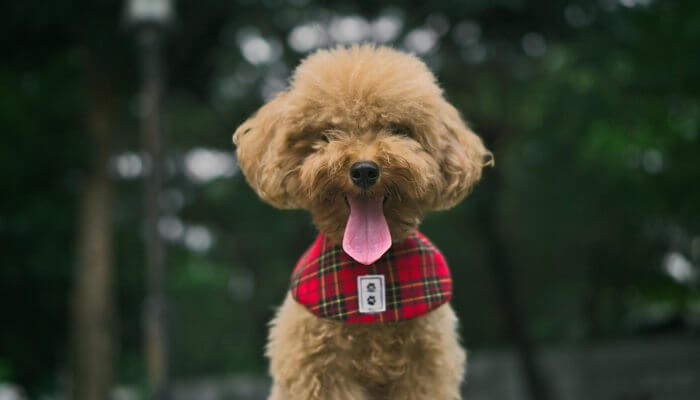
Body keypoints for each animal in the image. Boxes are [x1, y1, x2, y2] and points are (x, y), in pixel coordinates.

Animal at [232, 44, 490, 400]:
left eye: (397, 130)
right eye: (328, 133)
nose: (365, 170)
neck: (371, 268)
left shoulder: (426, 368)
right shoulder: (320, 370)